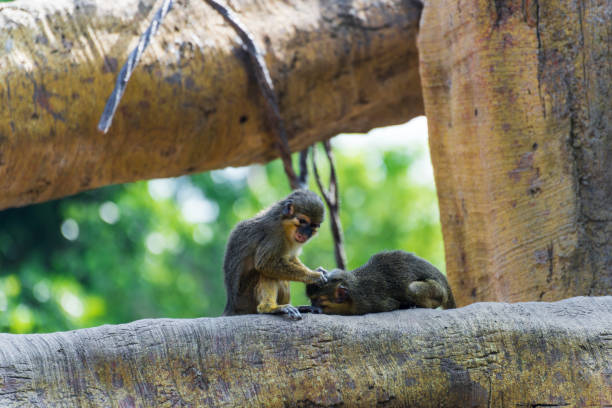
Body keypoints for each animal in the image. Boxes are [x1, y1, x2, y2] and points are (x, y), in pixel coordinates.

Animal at [222, 190, 328, 320]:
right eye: (302, 221)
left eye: (312, 226)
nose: (304, 233)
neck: (284, 223)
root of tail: (232, 307)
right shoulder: (275, 234)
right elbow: (265, 264)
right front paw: (313, 276)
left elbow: (290, 257)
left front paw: (316, 271)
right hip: (245, 299)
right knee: (264, 272)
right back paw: (269, 308)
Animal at [304, 249, 454, 316]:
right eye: (312, 300)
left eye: (318, 300)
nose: (313, 306)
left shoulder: (368, 303)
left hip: (438, 292)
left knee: (412, 289)